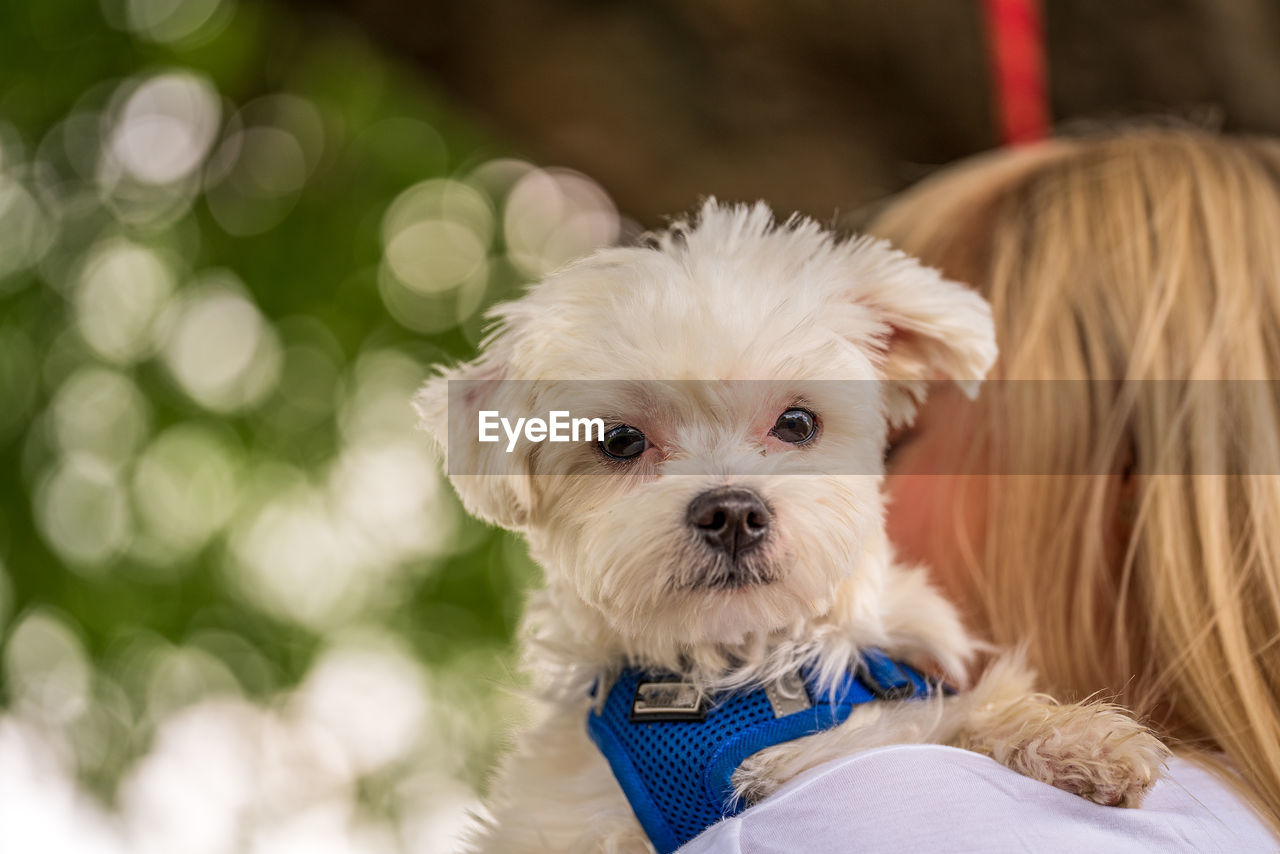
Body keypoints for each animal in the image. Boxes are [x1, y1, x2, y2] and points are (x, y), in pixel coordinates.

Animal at [414, 202, 1167, 854]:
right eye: (621, 441)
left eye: (798, 422)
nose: (732, 512)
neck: (729, 671)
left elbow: (942, 713)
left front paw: (1077, 739)